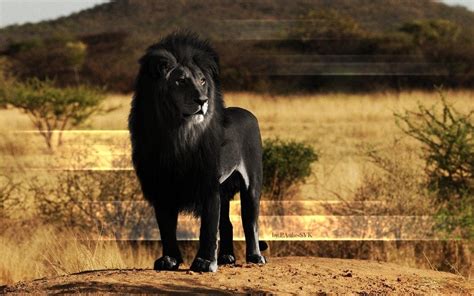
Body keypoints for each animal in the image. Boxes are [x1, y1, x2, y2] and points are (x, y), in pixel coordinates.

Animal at [128, 33, 266, 272]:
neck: (177, 134)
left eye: (202, 81)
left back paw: (255, 257)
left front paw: (204, 262)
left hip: (252, 183)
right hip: (224, 188)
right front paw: (169, 260)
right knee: (227, 223)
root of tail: (247, 112)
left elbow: (208, 227)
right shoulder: (161, 185)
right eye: (181, 81)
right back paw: (226, 257)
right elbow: (166, 227)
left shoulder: (208, 183)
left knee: (250, 221)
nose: (203, 100)